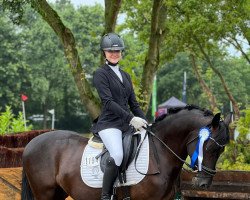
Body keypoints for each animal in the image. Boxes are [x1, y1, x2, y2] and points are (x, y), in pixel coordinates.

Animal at [21, 105, 230, 199]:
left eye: (222, 150)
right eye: (210, 147)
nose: (203, 184)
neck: (160, 153)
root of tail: (31, 144)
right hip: (45, 193)